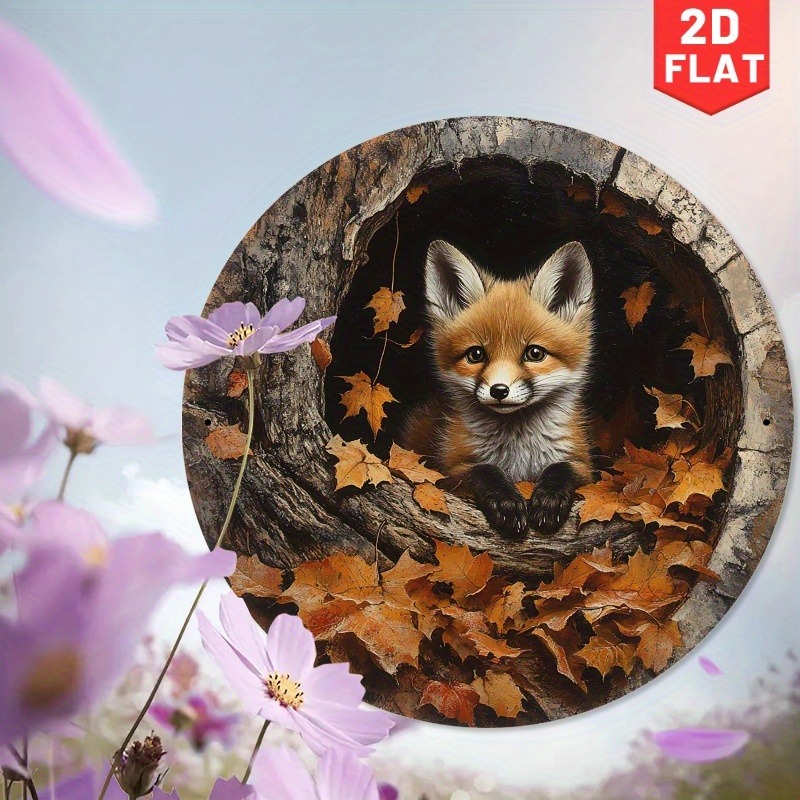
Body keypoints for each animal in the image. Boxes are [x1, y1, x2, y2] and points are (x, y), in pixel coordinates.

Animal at [401, 239, 595, 537]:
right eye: (476, 355)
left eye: (534, 353)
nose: (499, 390)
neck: (517, 451)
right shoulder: (448, 469)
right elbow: (483, 472)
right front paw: (506, 502)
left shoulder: (582, 463)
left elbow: (562, 470)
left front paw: (549, 499)